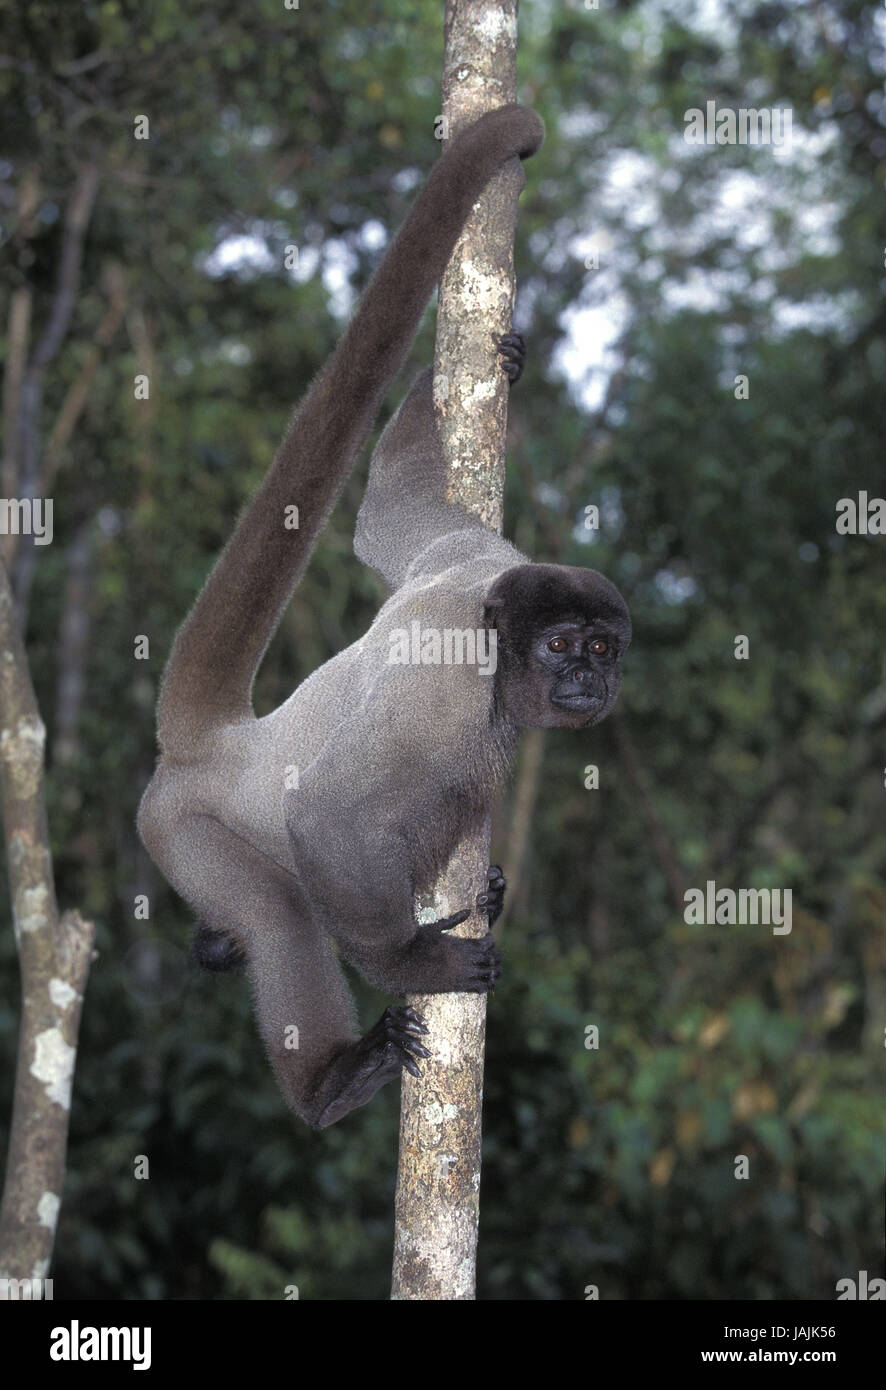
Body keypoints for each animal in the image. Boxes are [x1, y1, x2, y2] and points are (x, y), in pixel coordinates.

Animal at [137, 104, 631, 1129]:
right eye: (563, 645)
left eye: (604, 647)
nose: (586, 677)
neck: (492, 627)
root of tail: (216, 742)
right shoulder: (448, 688)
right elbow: (330, 813)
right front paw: (413, 962)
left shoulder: (481, 555)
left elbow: (381, 519)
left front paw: (507, 368)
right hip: (181, 831)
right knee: (282, 909)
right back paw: (331, 1080)